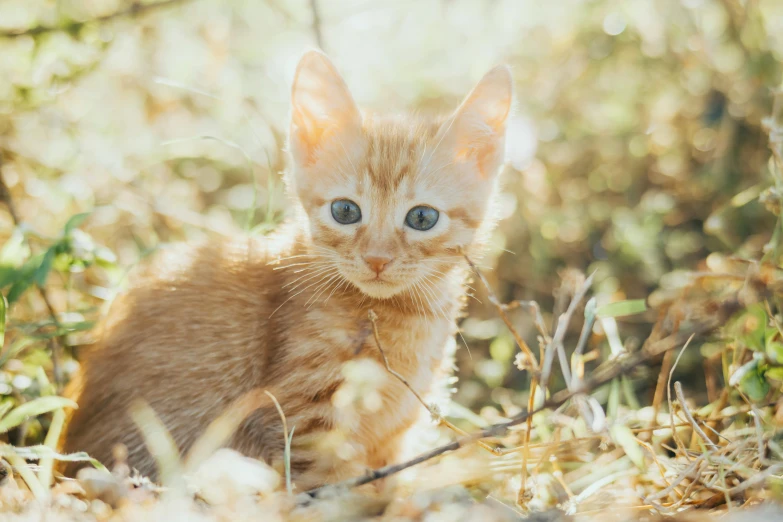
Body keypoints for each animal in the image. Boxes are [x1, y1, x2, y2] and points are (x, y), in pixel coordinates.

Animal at [62, 50, 516, 486]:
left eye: (422, 218)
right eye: (345, 211)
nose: (377, 259)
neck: (401, 316)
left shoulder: (392, 435)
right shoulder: (304, 416)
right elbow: (327, 485)